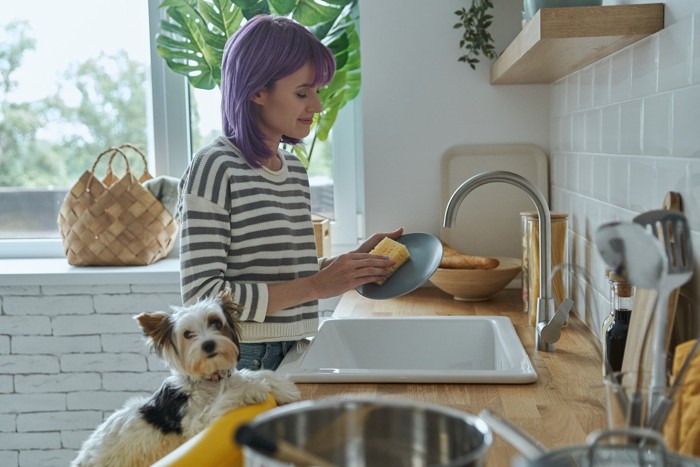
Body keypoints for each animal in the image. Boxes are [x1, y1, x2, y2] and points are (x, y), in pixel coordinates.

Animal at [69, 290, 300, 466]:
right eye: (187, 334)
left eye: (216, 323)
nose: (208, 345)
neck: (209, 380)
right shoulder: (197, 422)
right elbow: (229, 396)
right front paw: (252, 389)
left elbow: (253, 374)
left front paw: (284, 387)